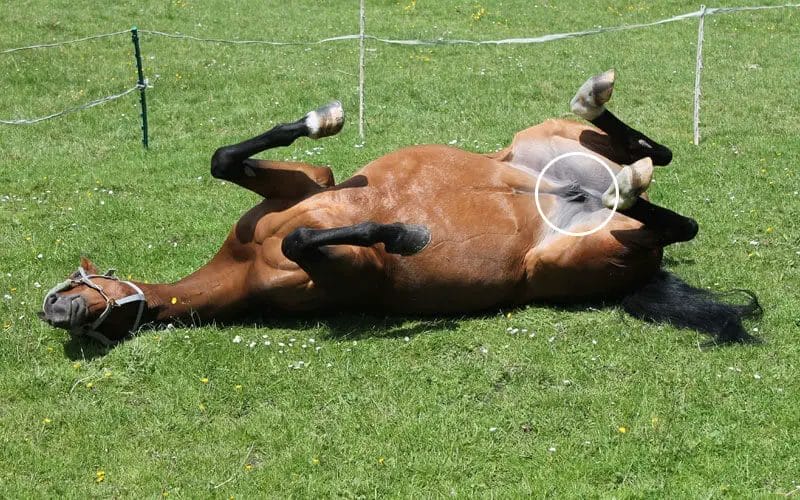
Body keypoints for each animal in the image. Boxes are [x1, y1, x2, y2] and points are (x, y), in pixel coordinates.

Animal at [40, 70, 760, 346]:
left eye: (79, 284)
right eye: (94, 322)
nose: (55, 311)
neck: (244, 263)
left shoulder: (310, 185)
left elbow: (227, 159)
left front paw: (325, 118)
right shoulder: (345, 269)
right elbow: (308, 238)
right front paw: (408, 235)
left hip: (540, 142)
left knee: (660, 168)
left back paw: (600, 109)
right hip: (572, 255)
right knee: (669, 210)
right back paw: (624, 180)